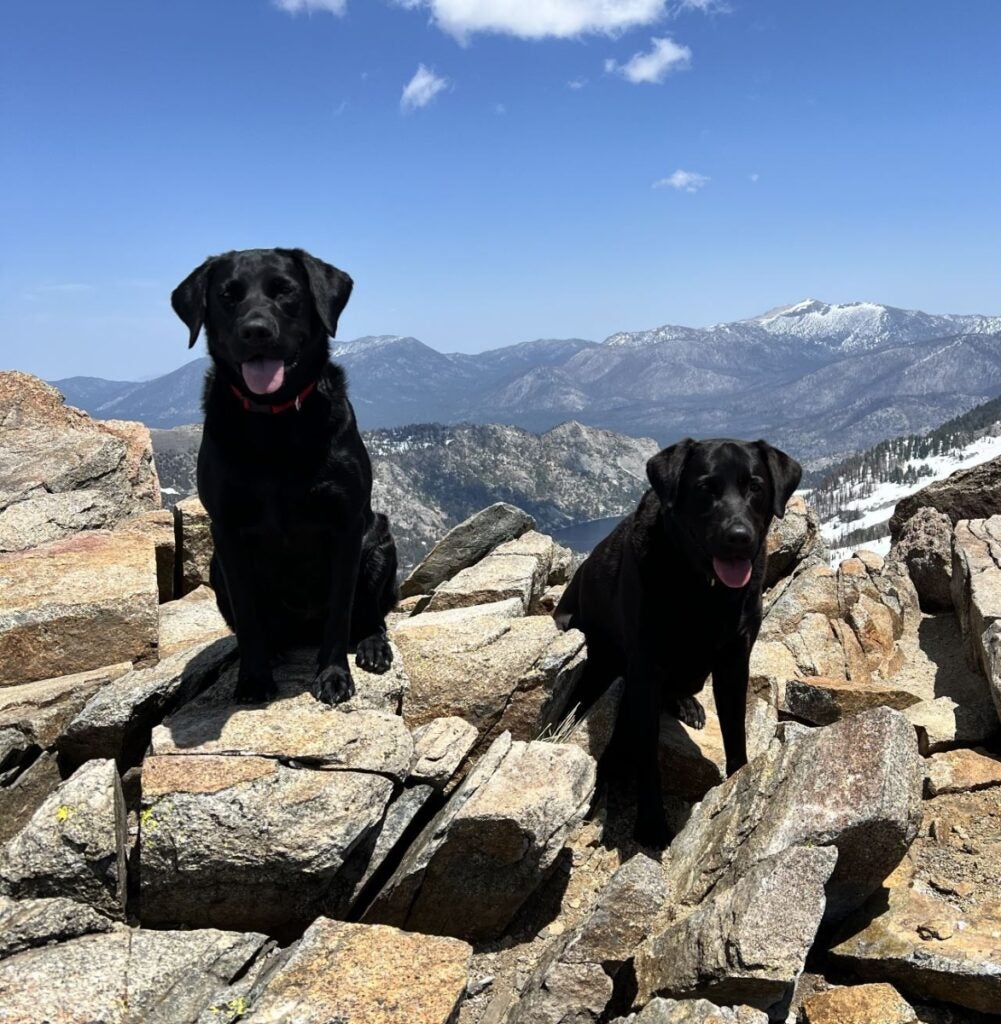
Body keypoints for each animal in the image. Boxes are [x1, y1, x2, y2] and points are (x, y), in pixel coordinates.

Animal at [169, 249, 395, 704]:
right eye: (227, 295)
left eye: (285, 290)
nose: (256, 331)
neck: (274, 424)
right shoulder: (227, 531)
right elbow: (248, 617)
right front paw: (254, 678)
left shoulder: (346, 525)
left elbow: (340, 612)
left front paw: (333, 675)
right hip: (216, 568)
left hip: (380, 541)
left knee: (369, 615)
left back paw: (372, 646)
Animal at [548, 436, 798, 843]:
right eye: (705, 488)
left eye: (755, 486)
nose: (739, 538)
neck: (703, 590)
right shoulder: (645, 672)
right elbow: (647, 754)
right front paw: (651, 824)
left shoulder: (734, 662)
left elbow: (735, 733)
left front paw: (737, 783)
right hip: (594, 660)